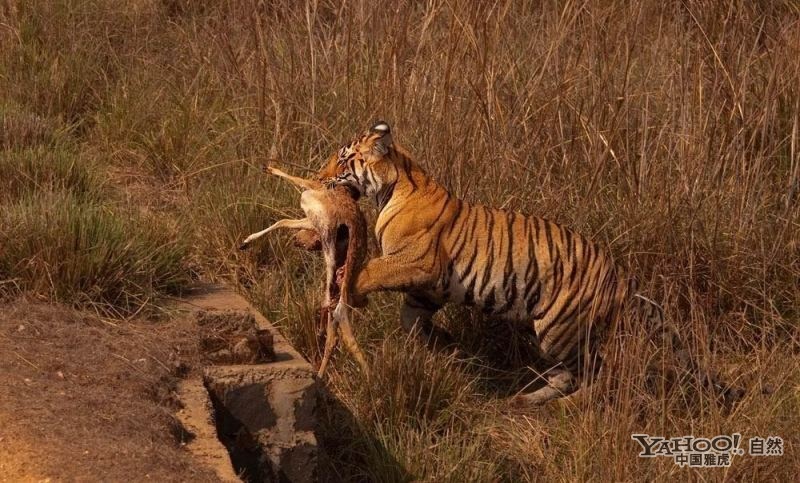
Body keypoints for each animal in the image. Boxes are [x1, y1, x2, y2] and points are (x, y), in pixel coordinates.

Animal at [310, 122, 736, 408]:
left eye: (343, 160)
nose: (318, 176)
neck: (392, 187)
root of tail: (622, 278)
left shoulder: (418, 262)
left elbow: (371, 271)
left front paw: (350, 291)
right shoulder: (428, 287)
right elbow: (410, 317)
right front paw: (437, 341)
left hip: (559, 329)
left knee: (598, 371)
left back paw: (567, 406)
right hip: (557, 329)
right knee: (571, 373)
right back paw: (526, 400)